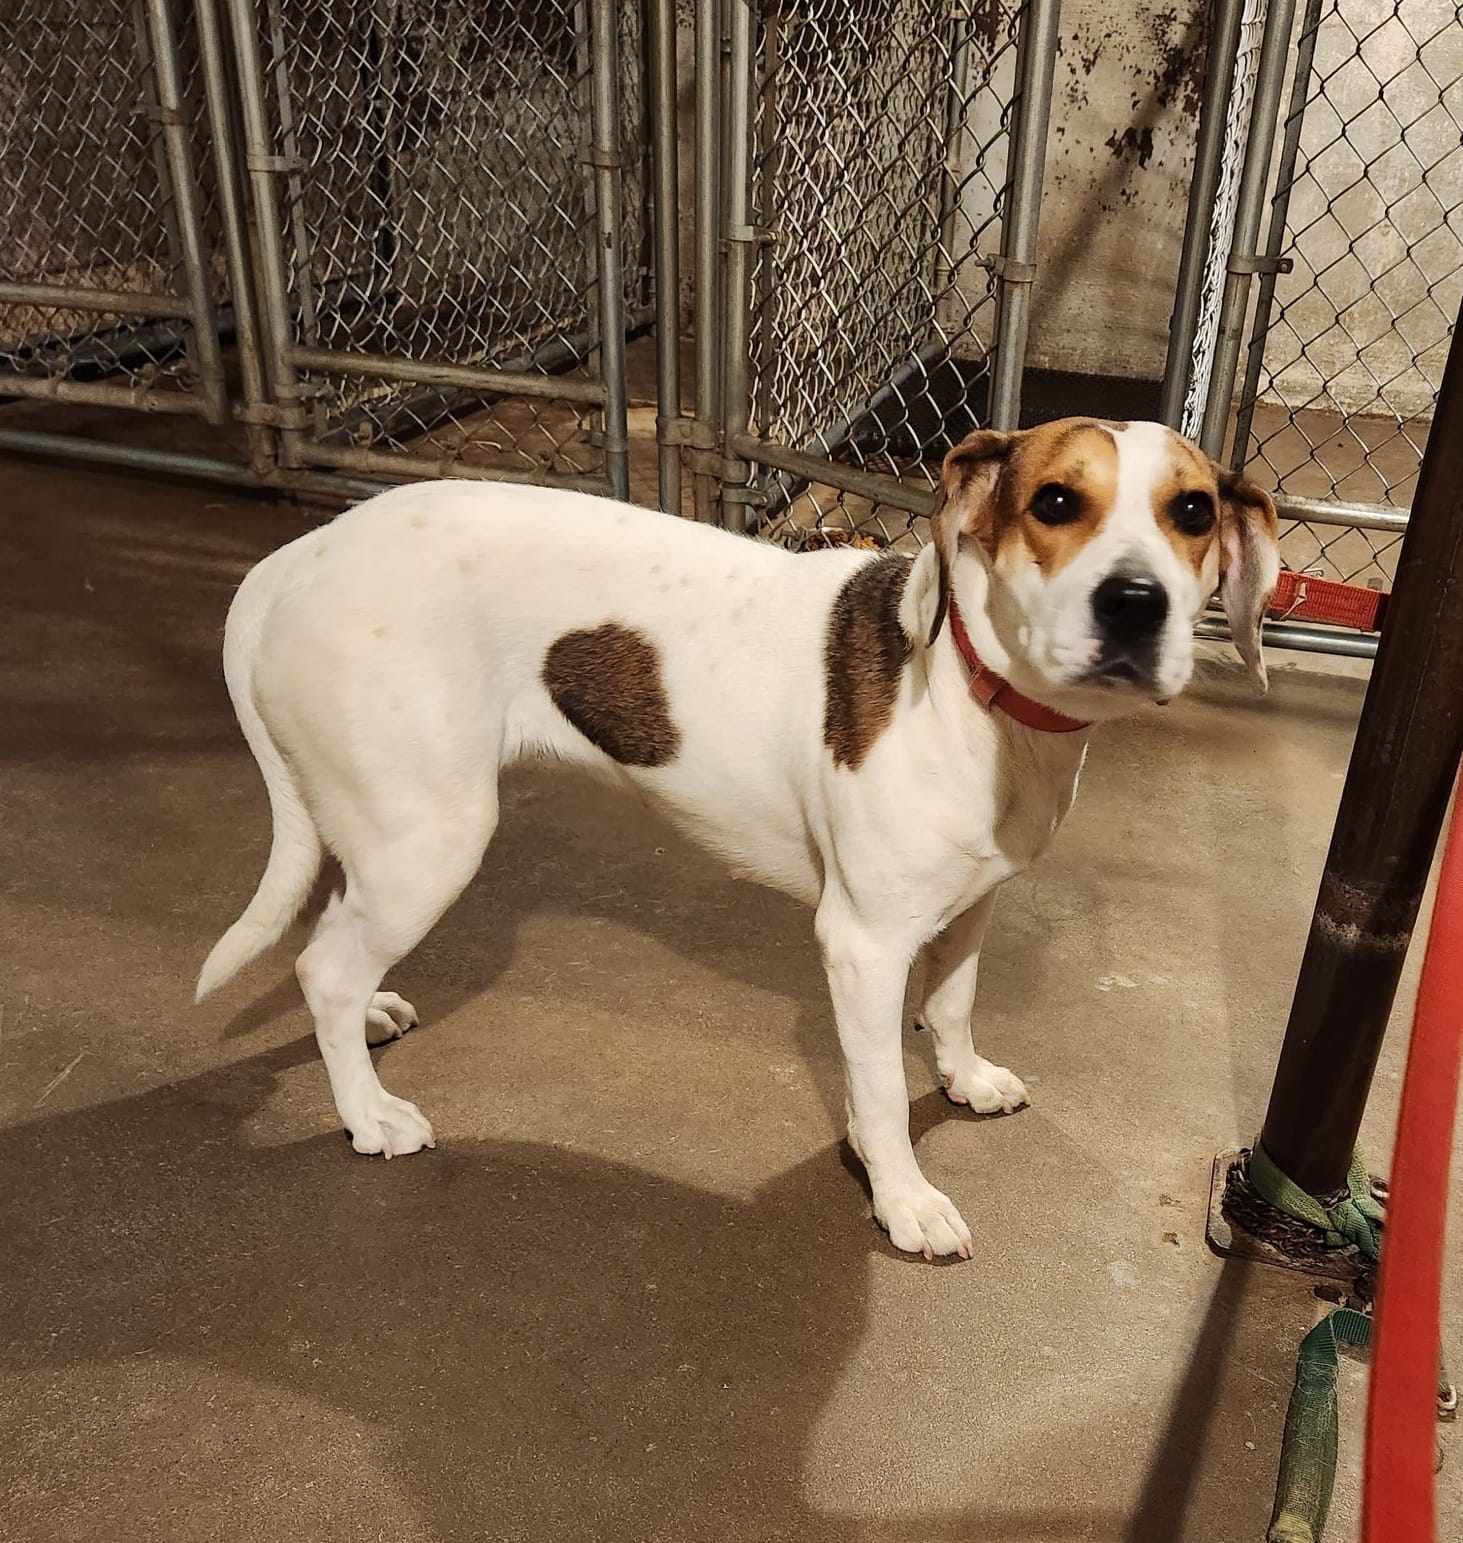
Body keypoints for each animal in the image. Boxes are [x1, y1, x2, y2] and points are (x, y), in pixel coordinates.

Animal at [197, 419, 1277, 1252]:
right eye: (1054, 501)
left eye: (1191, 512)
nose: (1134, 603)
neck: (980, 697)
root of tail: (296, 559)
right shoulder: (862, 944)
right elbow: (879, 1091)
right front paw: (903, 1199)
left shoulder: (973, 900)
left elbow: (954, 1003)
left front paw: (963, 1077)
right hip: (430, 837)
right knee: (323, 968)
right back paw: (367, 1114)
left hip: (378, 828)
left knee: (333, 943)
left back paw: (372, 1020)